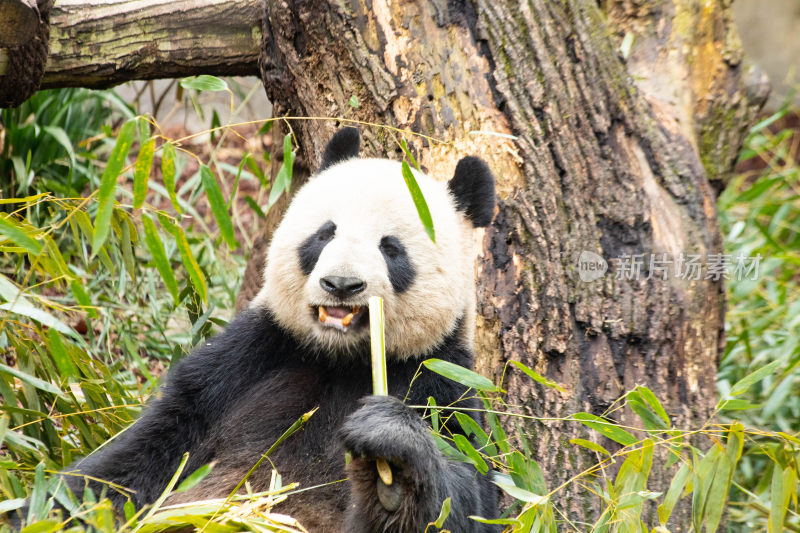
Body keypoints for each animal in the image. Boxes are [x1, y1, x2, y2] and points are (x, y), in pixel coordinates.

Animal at [56, 127, 496, 528]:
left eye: (391, 249)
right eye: (325, 233)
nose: (341, 284)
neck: (341, 359)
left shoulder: (439, 377)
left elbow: (468, 493)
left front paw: (391, 465)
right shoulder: (249, 358)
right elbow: (144, 453)